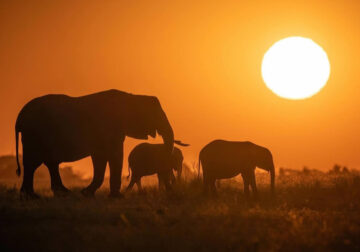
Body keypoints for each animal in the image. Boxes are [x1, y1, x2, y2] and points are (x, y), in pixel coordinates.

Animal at [15, 89, 177, 198]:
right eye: (155, 115)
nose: (170, 189)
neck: (131, 97)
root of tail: (20, 116)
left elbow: (102, 157)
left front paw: (87, 193)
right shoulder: (109, 128)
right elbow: (113, 155)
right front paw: (115, 197)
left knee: (48, 163)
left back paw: (58, 194)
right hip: (34, 135)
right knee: (33, 163)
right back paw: (32, 196)